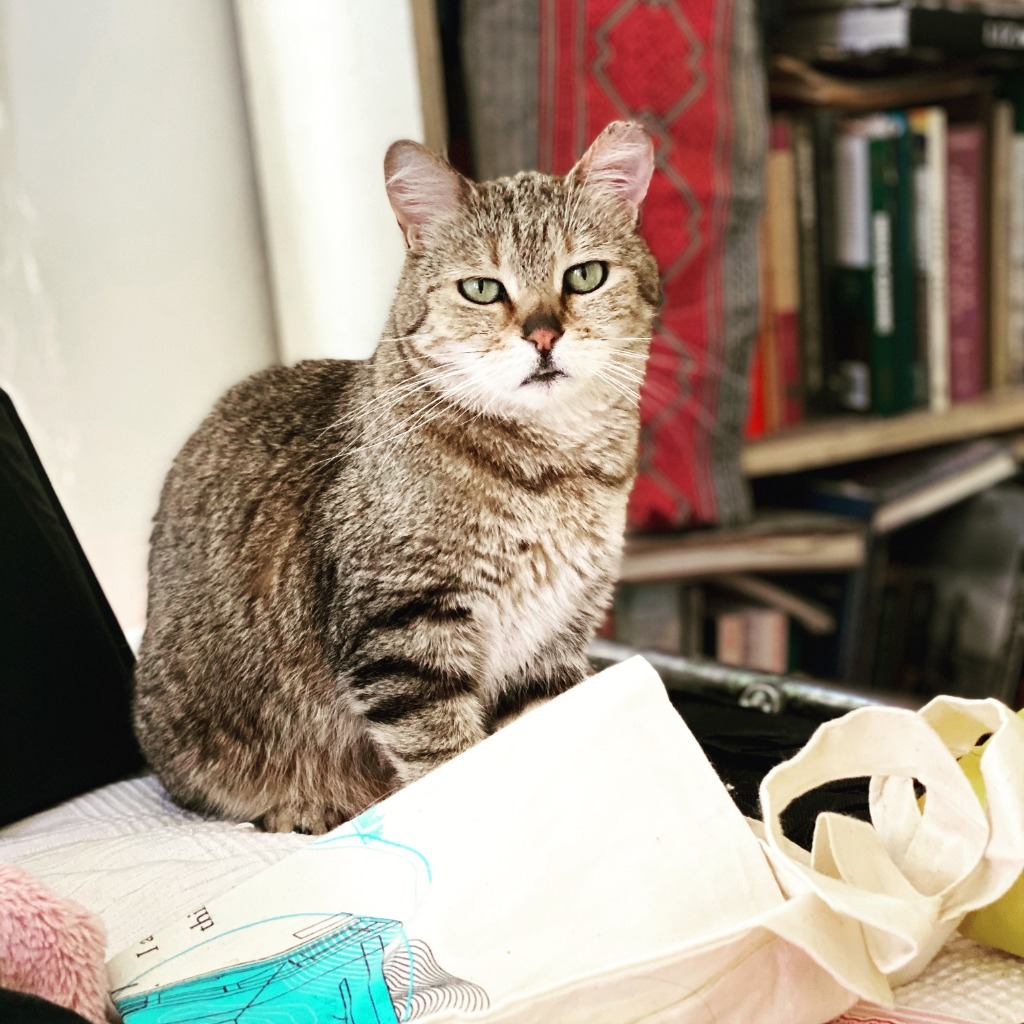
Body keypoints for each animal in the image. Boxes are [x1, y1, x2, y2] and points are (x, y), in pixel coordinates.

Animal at [132, 119, 659, 831]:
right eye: (482, 288)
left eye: (586, 275)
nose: (544, 335)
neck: (551, 473)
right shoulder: (405, 632)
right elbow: (452, 763)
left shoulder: (551, 641)